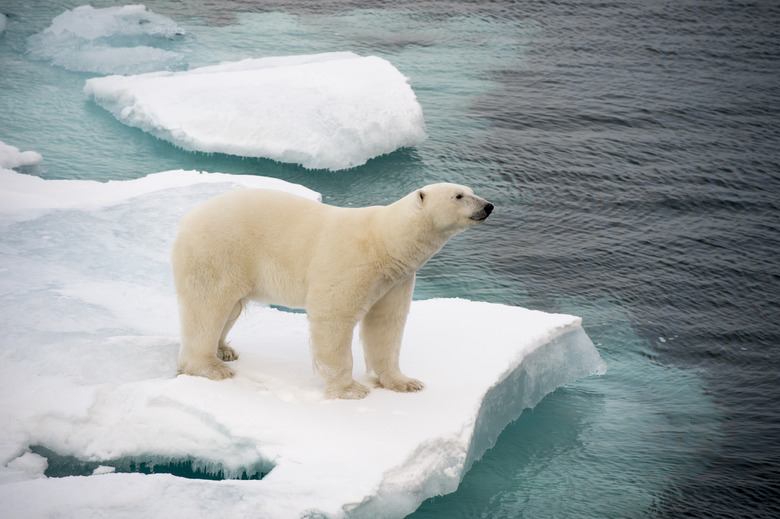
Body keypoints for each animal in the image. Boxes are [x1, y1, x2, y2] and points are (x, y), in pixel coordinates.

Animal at [173, 185, 494, 400]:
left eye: (471, 190)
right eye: (459, 196)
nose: (489, 205)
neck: (384, 242)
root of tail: (187, 219)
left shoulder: (395, 280)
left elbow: (386, 324)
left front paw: (405, 382)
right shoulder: (350, 262)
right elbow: (334, 317)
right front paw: (350, 390)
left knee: (230, 309)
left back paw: (224, 350)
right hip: (218, 251)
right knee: (208, 305)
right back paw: (210, 367)